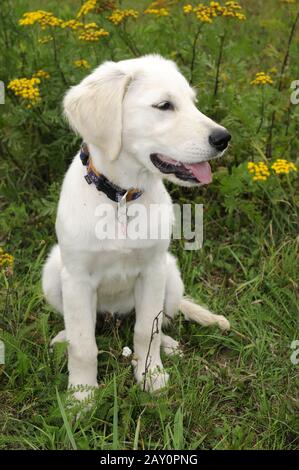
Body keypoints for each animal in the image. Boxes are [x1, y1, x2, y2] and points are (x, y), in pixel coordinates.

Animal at [42, 55, 231, 400]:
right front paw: (82, 395)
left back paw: (169, 345)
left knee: (162, 321)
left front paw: (150, 375)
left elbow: (146, 330)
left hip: (172, 276)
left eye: (193, 103)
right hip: (52, 273)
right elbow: (83, 345)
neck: (123, 196)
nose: (224, 138)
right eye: (164, 105)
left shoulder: (153, 271)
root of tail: (115, 313)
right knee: (79, 327)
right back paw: (62, 338)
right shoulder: (76, 279)